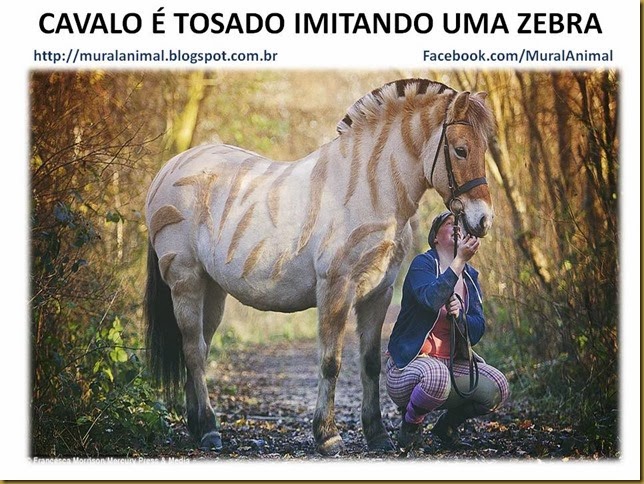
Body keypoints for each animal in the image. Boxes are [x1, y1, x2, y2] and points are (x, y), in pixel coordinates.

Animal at [144, 78, 495, 455]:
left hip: (212, 290)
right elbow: (331, 362)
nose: (483, 221)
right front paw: (327, 435)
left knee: (197, 347)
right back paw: (209, 429)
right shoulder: (335, 288)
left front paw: (377, 434)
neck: (369, 190)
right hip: (186, 280)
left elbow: (371, 364)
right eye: (460, 150)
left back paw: (197, 426)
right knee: (194, 351)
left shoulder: (379, 293)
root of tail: (168, 169)